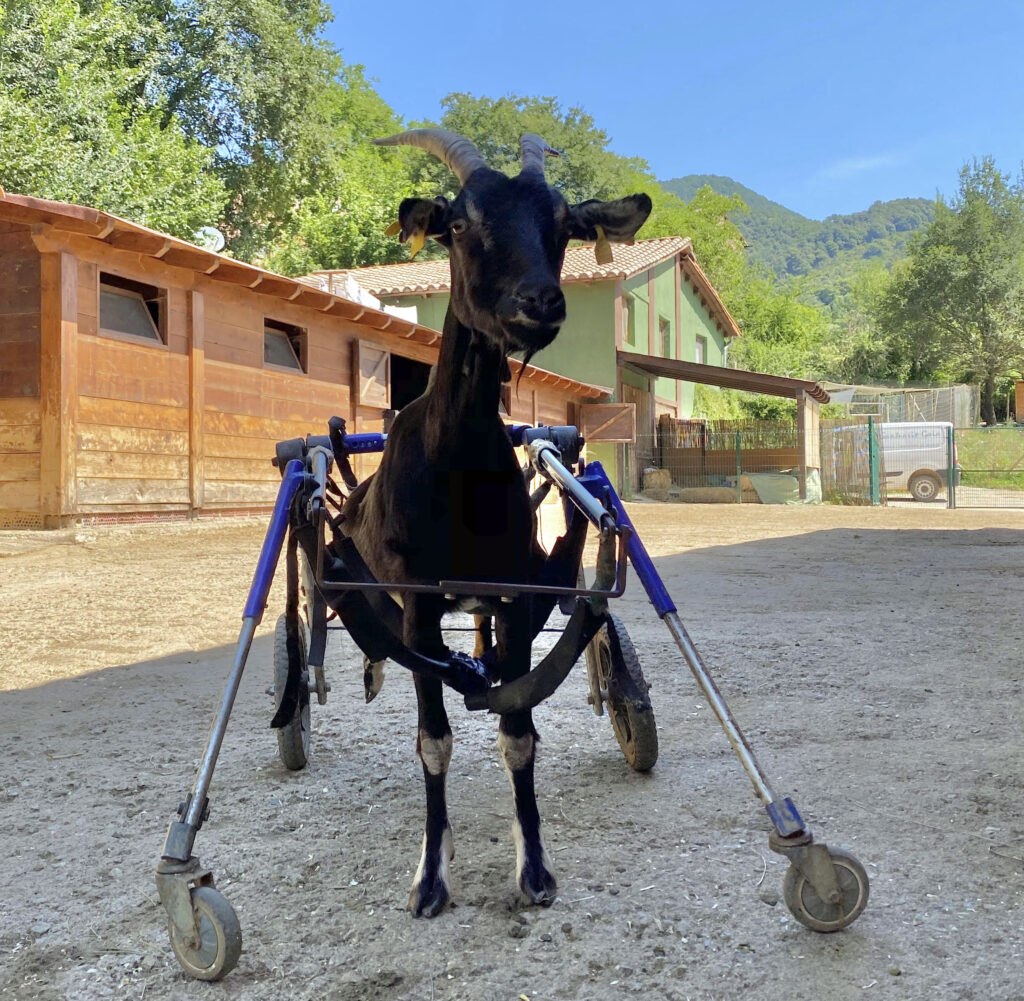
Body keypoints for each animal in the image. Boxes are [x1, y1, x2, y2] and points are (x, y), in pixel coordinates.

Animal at [342, 128, 647, 917]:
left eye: (565, 225)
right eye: (458, 222)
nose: (538, 301)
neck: (459, 472)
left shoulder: (513, 597)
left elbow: (518, 733)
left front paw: (533, 866)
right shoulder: (418, 605)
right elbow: (433, 741)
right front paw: (430, 875)